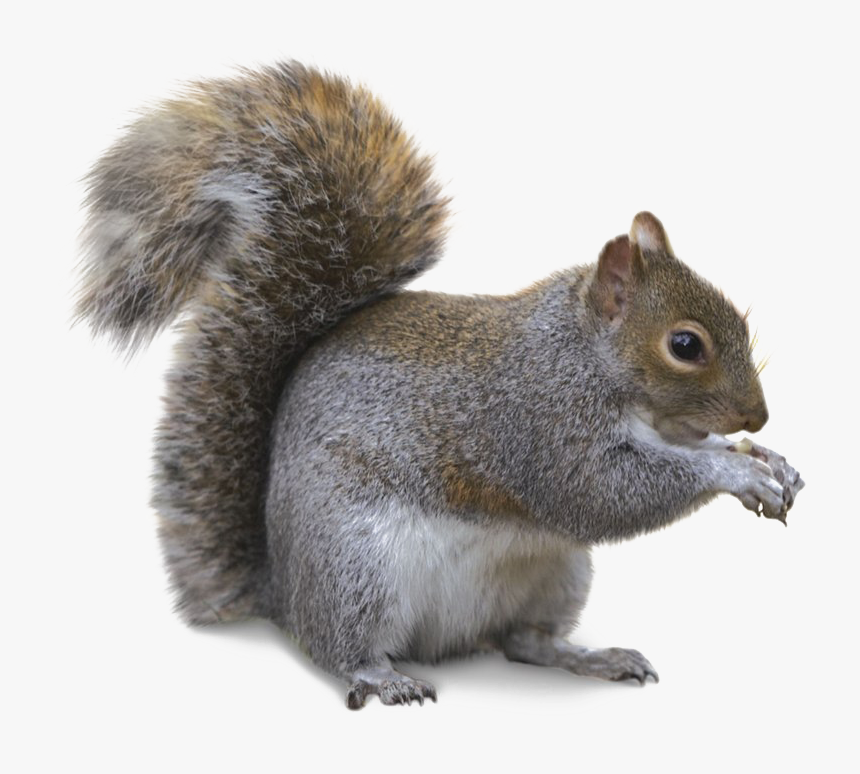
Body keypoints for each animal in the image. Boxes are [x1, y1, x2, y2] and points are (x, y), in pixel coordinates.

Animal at [77, 62, 804, 709]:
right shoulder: (535, 418)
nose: (759, 418)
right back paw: (381, 677)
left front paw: (769, 462)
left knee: (522, 642)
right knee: (340, 646)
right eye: (685, 345)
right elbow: (599, 493)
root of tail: (281, 589)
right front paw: (735, 471)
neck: (583, 353)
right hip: (356, 565)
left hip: (557, 573)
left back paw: (590, 657)